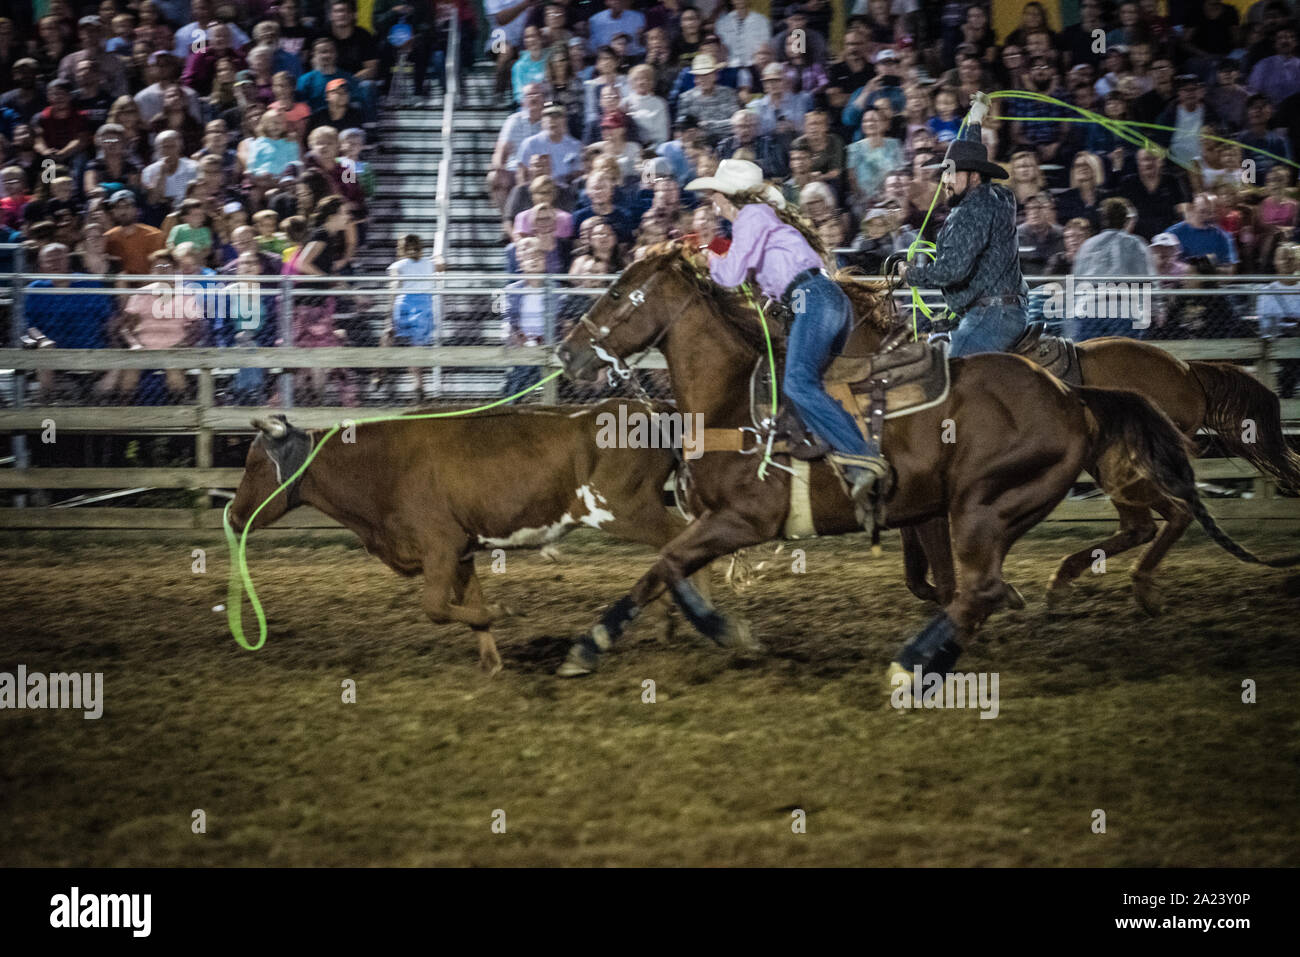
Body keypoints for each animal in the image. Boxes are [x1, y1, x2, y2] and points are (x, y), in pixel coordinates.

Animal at [551, 247, 1289, 681]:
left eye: (618, 295)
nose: (567, 353)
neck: (735, 396)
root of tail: (1073, 395)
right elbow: (668, 572)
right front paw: (712, 631)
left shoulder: (742, 520)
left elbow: (664, 565)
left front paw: (600, 643)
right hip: (1004, 504)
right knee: (993, 581)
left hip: (990, 503)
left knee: (992, 583)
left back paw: (919, 661)